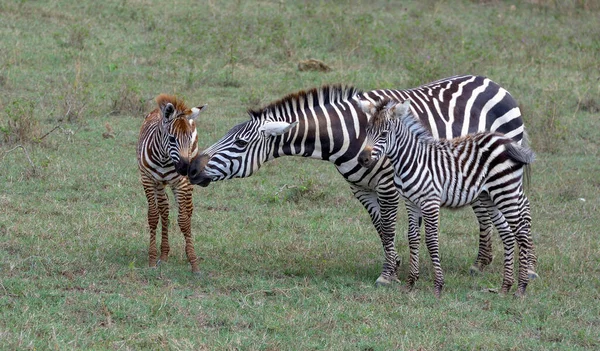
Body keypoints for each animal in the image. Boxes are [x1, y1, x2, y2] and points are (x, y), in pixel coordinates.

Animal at [137, 93, 207, 276]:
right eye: (171, 139)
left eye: (189, 138)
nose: (186, 168)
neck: (164, 158)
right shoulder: (147, 179)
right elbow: (153, 216)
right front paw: (152, 260)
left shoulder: (181, 183)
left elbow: (183, 220)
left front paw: (194, 263)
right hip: (160, 184)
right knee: (164, 210)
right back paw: (164, 254)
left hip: (186, 183)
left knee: (188, 211)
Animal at [189, 75, 528, 286]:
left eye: (240, 144)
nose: (190, 167)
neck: (347, 135)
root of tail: (491, 82)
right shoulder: (360, 189)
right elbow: (380, 227)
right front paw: (395, 264)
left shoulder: (388, 185)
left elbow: (389, 226)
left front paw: (388, 275)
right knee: (485, 210)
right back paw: (481, 263)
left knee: (519, 212)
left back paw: (526, 270)